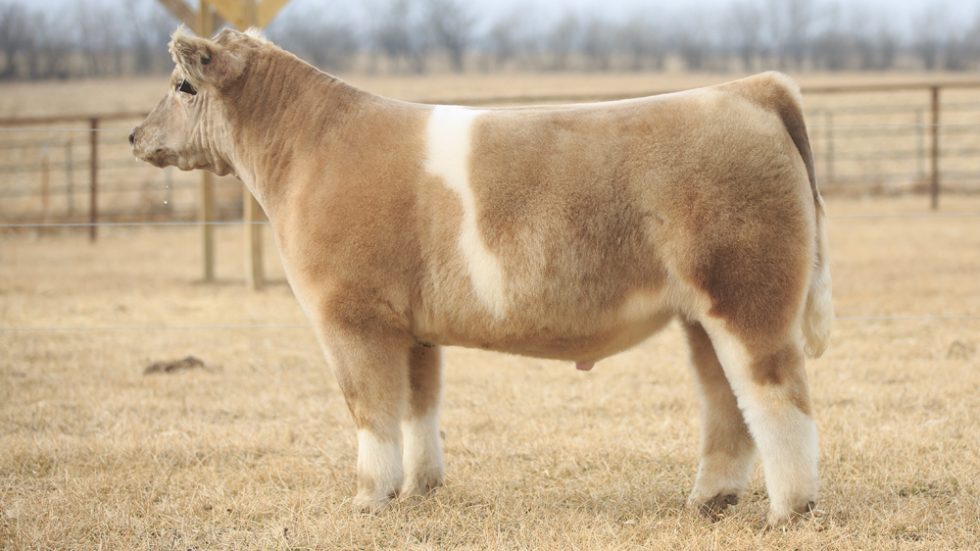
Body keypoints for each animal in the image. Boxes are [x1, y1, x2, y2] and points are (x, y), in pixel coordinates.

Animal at [130, 27, 833, 527]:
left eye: (183, 85)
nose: (135, 135)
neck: (311, 151)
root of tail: (747, 89)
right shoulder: (412, 329)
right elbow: (420, 406)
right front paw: (419, 489)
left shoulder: (349, 317)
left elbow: (370, 410)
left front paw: (368, 498)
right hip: (701, 314)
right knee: (726, 402)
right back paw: (708, 501)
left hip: (748, 296)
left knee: (778, 395)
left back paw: (788, 510)